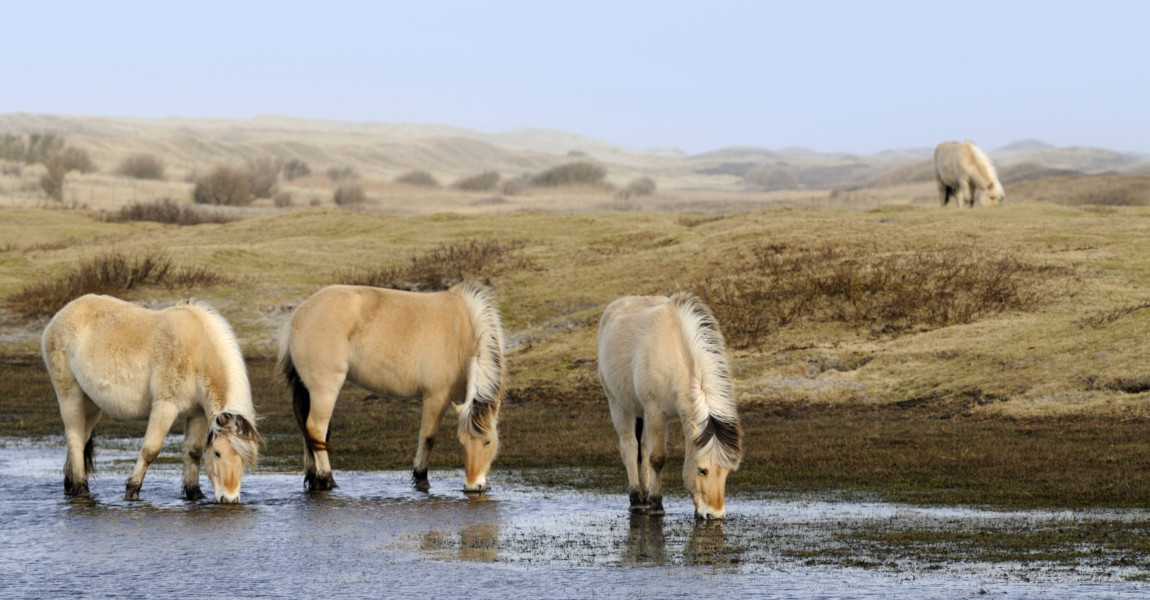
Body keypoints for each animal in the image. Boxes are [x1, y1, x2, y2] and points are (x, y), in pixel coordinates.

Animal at [41, 294, 261, 498]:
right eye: (217, 453)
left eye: (244, 458)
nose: (229, 499)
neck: (197, 353)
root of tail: (60, 315)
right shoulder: (165, 407)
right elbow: (150, 450)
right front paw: (132, 491)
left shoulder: (198, 414)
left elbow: (193, 452)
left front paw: (194, 494)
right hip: (70, 395)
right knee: (75, 438)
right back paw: (81, 488)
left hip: (92, 404)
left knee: (81, 438)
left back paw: (70, 486)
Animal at [277, 280, 503, 489]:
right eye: (462, 442)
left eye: (488, 441)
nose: (474, 486)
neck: (462, 332)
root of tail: (299, 315)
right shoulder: (437, 396)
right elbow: (428, 437)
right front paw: (421, 478)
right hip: (325, 389)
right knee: (316, 429)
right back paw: (326, 479)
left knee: (307, 432)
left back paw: (313, 478)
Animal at [598, 291, 740, 514]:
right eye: (702, 470)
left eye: (726, 472)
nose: (715, 514)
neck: (676, 354)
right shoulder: (656, 413)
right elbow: (657, 459)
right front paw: (656, 504)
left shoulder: (654, 414)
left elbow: (649, 455)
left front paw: (652, 499)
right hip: (618, 405)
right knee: (629, 447)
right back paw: (637, 499)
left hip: (641, 412)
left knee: (642, 447)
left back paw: (644, 495)